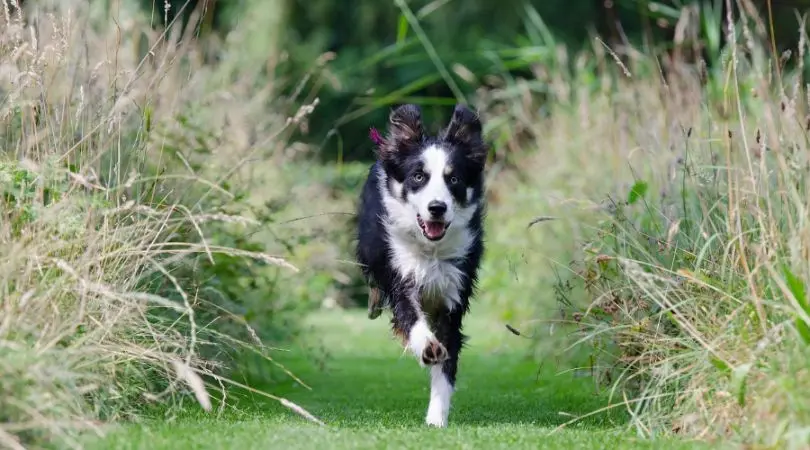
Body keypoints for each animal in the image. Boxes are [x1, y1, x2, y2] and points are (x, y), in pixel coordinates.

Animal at [356, 103, 482, 428]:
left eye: (454, 179)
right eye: (418, 177)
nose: (437, 207)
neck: (431, 251)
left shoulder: (454, 290)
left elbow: (447, 361)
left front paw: (437, 416)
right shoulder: (400, 273)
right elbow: (410, 316)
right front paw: (426, 346)